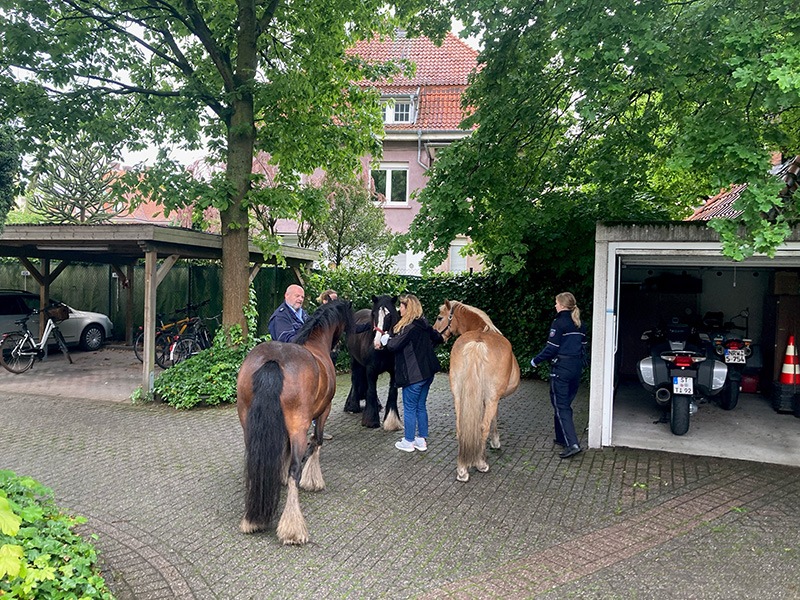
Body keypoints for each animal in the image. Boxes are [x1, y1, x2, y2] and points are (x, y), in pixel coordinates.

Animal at [234, 300, 354, 544]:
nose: (338, 349)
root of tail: (274, 361)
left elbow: (285, 450)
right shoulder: (323, 412)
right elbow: (316, 442)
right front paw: (313, 479)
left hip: (248, 424)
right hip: (299, 425)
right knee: (295, 469)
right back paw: (293, 528)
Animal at [344, 296, 404, 432]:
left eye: (389, 315)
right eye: (374, 314)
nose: (378, 343)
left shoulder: (394, 370)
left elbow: (392, 392)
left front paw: (392, 421)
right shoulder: (371, 370)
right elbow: (371, 390)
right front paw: (370, 420)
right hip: (354, 361)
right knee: (355, 379)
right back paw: (353, 405)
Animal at [434, 300, 520, 482]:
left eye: (439, 317)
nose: (436, 336)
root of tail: (478, 342)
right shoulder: (493, 399)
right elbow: (493, 419)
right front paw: (495, 442)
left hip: (458, 396)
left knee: (460, 427)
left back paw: (462, 469)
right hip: (491, 398)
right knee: (483, 427)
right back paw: (481, 463)